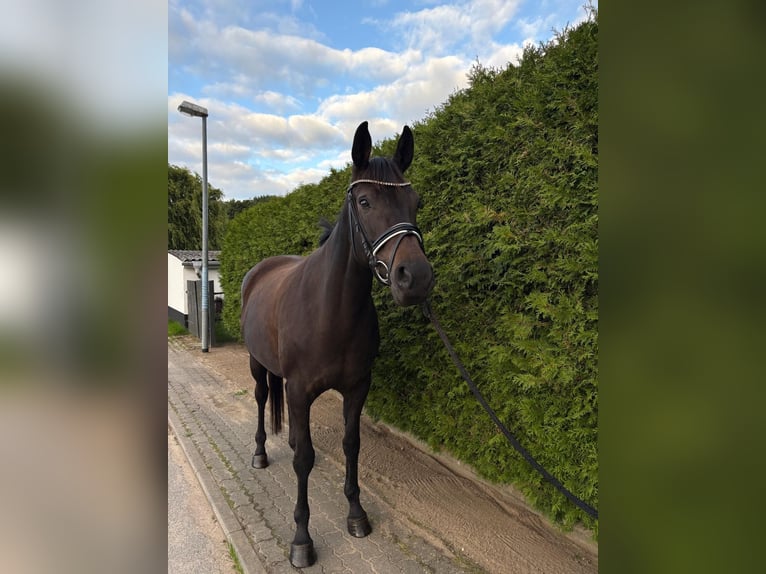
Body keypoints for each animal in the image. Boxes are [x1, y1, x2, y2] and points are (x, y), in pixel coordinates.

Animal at [240, 121, 434, 568]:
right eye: (364, 201)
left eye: (415, 201)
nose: (415, 278)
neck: (331, 310)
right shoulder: (299, 389)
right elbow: (304, 461)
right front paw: (301, 540)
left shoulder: (357, 388)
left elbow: (351, 445)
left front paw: (357, 515)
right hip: (258, 364)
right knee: (261, 399)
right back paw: (260, 454)